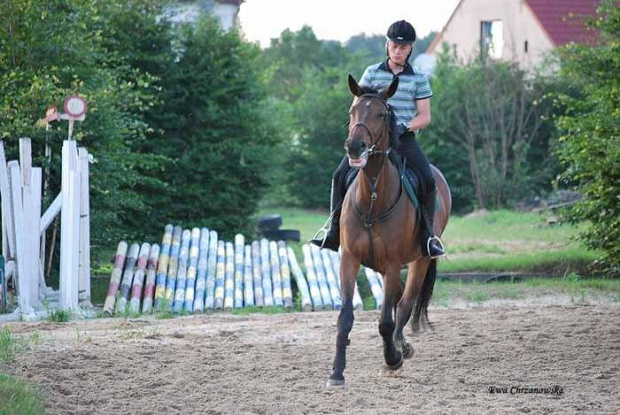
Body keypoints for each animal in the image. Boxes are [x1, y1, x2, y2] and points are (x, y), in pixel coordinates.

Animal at [326, 74, 452, 386]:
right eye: (352, 111)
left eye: (382, 115)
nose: (355, 147)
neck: (372, 197)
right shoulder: (349, 259)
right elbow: (345, 317)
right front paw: (337, 372)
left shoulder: (394, 263)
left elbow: (386, 320)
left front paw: (392, 359)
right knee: (398, 301)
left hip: (419, 261)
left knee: (404, 304)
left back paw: (399, 349)